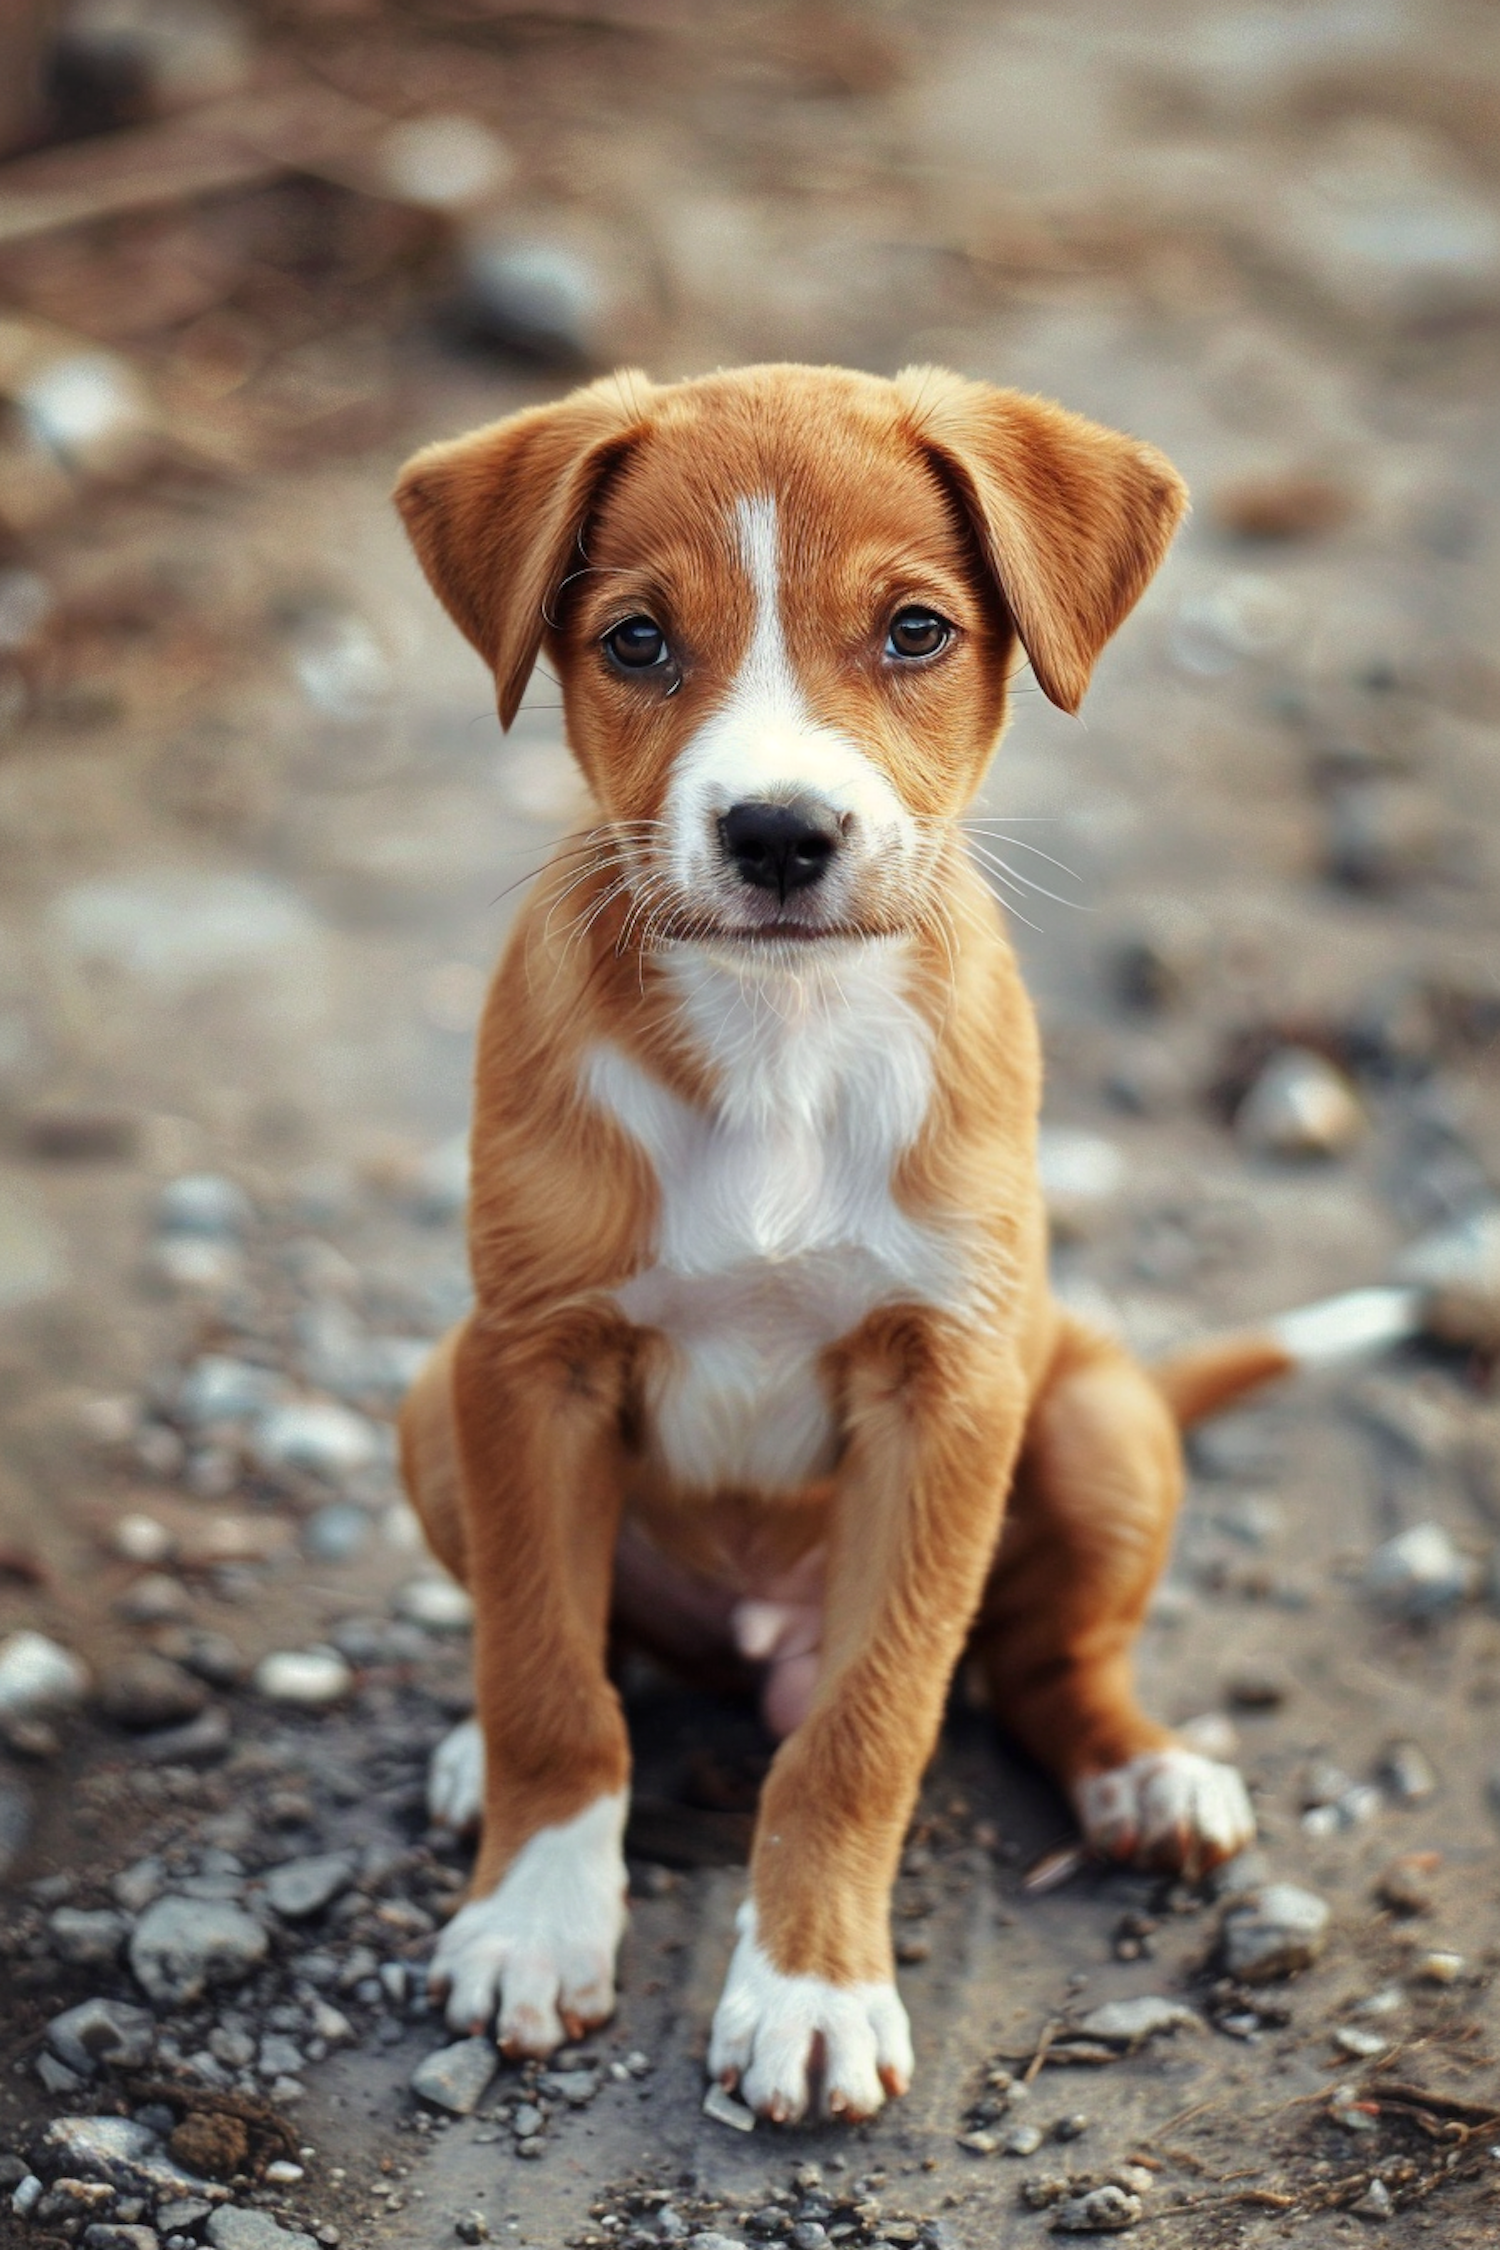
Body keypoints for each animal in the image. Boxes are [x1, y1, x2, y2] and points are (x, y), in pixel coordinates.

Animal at [391, 360, 1421, 2115]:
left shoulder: (948, 1390)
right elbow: (547, 1679)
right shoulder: (531, 1361)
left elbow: (866, 1729)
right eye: (637, 641)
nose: (778, 833)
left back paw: (1148, 1777)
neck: (781, 1028)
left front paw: (809, 1986)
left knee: (1041, 1665)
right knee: (588, 1645)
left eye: (917, 630)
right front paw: (532, 1919)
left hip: (1093, 1414)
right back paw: (469, 1757)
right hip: (435, 1397)